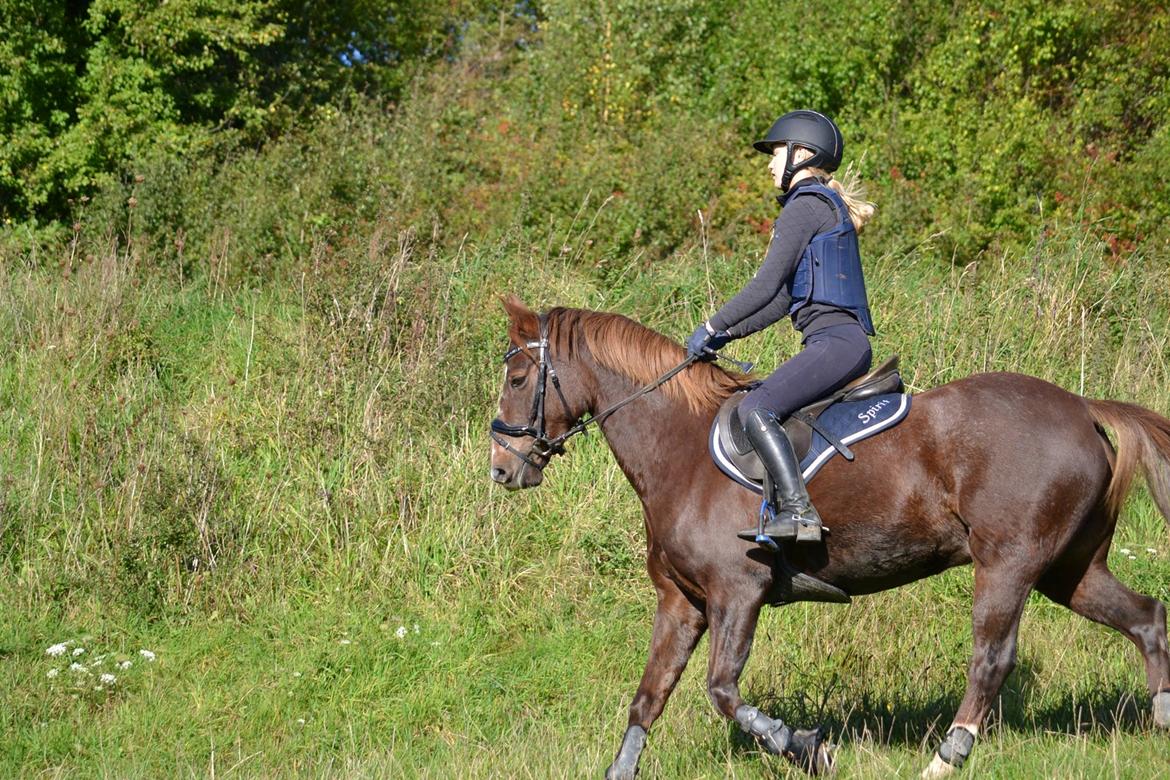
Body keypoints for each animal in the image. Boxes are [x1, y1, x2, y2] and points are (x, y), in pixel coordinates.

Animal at [486, 295, 1170, 776]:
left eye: (518, 380)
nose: (501, 468)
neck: (677, 449)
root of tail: (1082, 409)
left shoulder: (738, 591)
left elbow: (723, 691)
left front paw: (804, 745)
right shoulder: (681, 602)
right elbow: (648, 698)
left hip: (1009, 563)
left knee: (991, 658)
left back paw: (942, 759)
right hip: (1069, 569)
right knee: (1146, 617)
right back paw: (1163, 717)